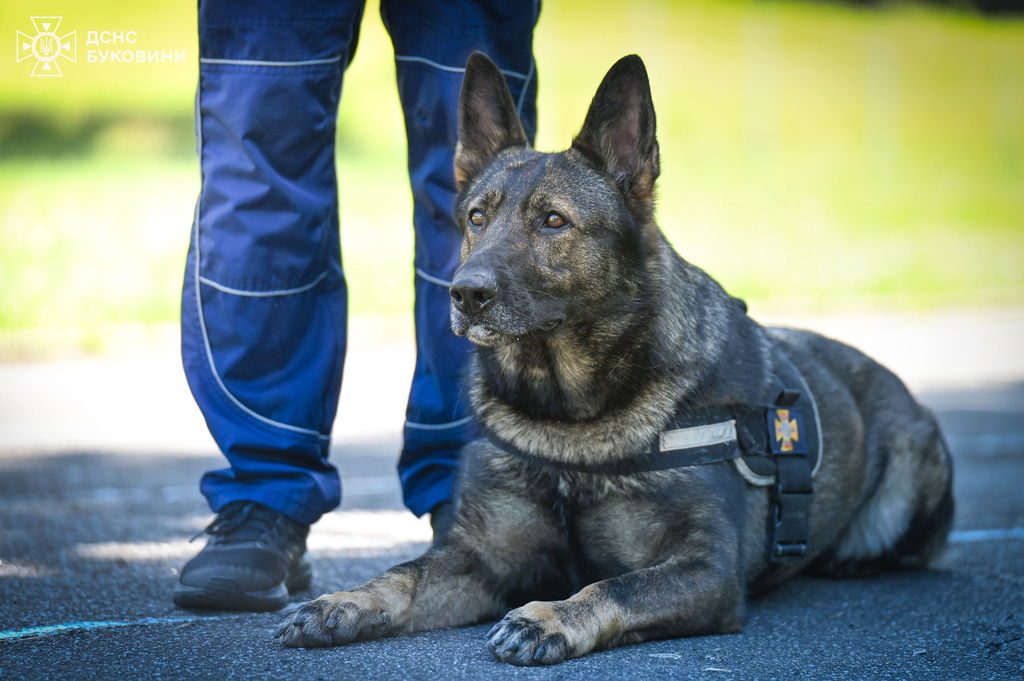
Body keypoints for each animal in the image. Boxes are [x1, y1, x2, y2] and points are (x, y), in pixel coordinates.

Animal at [274, 53, 954, 666]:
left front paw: (549, 617)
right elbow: (404, 575)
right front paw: (343, 601)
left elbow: (615, 586)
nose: (464, 294)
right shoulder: (480, 560)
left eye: (553, 221)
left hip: (905, 485)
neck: (568, 417)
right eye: (476, 217)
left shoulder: (705, 570)